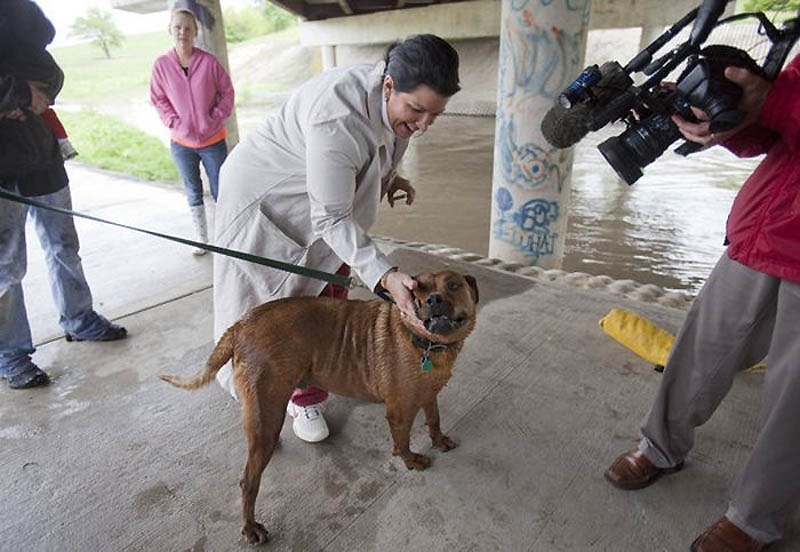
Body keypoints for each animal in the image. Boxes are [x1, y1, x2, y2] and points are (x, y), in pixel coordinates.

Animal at [159, 270, 478, 544]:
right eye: (417, 289)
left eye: (453, 285)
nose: (433, 300)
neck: (429, 344)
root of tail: (240, 325)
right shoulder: (400, 410)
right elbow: (402, 442)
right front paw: (411, 460)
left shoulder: (429, 395)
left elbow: (434, 419)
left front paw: (438, 440)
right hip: (266, 410)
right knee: (248, 481)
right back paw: (250, 527)